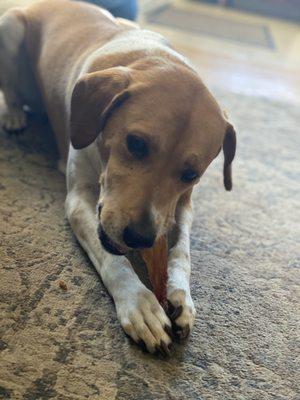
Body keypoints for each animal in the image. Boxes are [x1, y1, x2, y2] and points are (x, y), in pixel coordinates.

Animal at [0, 1, 237, 354]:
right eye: (136, 143)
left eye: (191, 174)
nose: (139, 237)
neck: (147, 58)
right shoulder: (79, 200)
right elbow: (113, 260)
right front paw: (139, 303)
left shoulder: (181, 207)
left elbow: (182, 250)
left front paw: (182, 296)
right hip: (10, 28)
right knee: (12, 92)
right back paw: (13, 114)